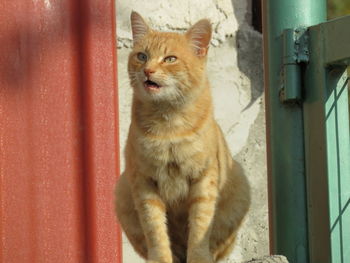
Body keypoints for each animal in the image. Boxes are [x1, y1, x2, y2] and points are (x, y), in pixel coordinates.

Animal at [116, 11, 250, 262]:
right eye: (142, 56)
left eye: (170, 59)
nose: (147, 70)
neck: (168, 124)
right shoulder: (144, 182)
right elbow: (155, 231)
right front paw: (160, 259)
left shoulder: (203, 179)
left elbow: (200, 228)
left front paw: (198, 257)